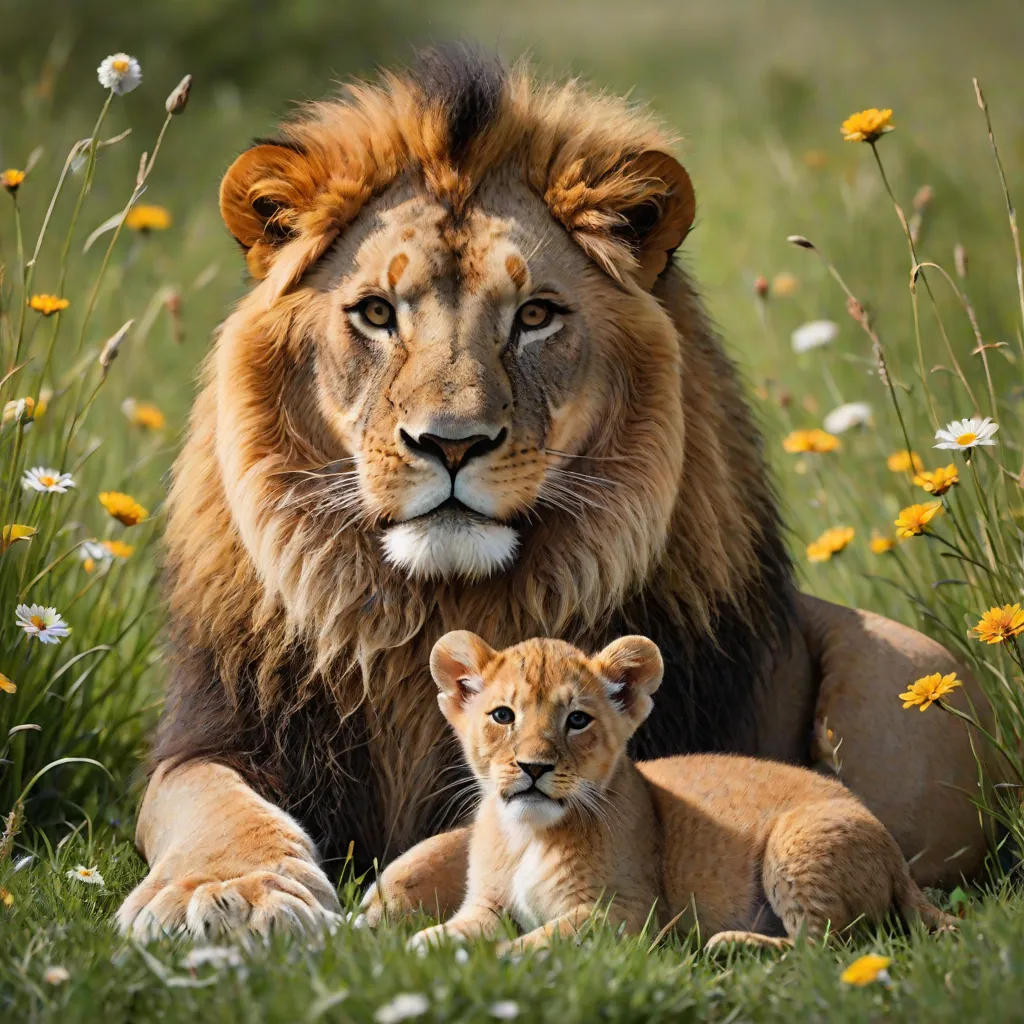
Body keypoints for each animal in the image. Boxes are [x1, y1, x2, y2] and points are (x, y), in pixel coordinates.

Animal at [410, 632, 955, 954]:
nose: (533, 767)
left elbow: (535, 942)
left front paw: (497, 962)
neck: (528, 833)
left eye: (578, 720)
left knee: (829, 948)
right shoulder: (485, 907)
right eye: (503, 716)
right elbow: (438, 935)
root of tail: (896, 858)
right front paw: (421, 947)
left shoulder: (627, 912)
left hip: (797, 841)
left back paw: (729, 943)